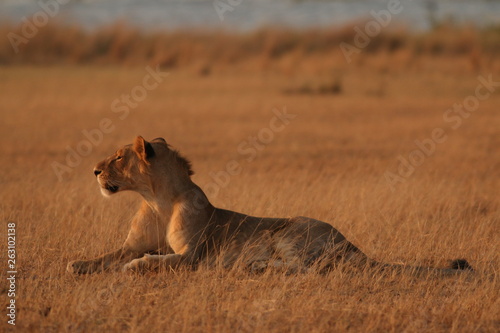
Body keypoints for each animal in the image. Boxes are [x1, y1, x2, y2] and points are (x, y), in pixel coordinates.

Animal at [66, 136, 472, 274]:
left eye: (119, 157)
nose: (94, 170)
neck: (156, 200)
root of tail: (350, 241)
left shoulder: (192, 256)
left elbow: (151, 260)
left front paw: (134, 267)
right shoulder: (129, 244)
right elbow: (104, 257)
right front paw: (76, 264)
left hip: (288, 231)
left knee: (306, 269)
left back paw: (256, 267)